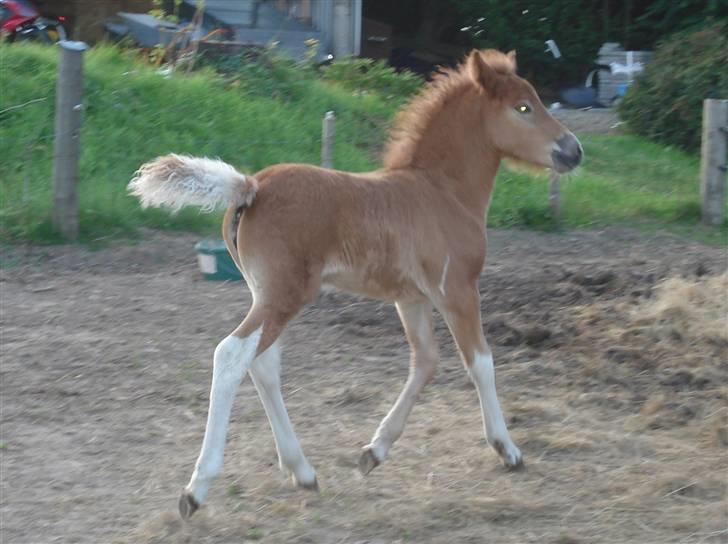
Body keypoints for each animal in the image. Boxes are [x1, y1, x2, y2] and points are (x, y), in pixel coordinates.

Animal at [129, 47, 580, 520]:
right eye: (523, 107)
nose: (574, 150)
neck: (443, 193)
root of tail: (251, 186)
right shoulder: (457, 289)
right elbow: (480, 362)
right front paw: (507, 449)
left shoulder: (411, 298)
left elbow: (426, 361)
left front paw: (374, 451)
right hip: (286, 296)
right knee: (233, 354)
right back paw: (197, 489)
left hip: (269, 295)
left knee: (264, 364)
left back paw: (302, 471)